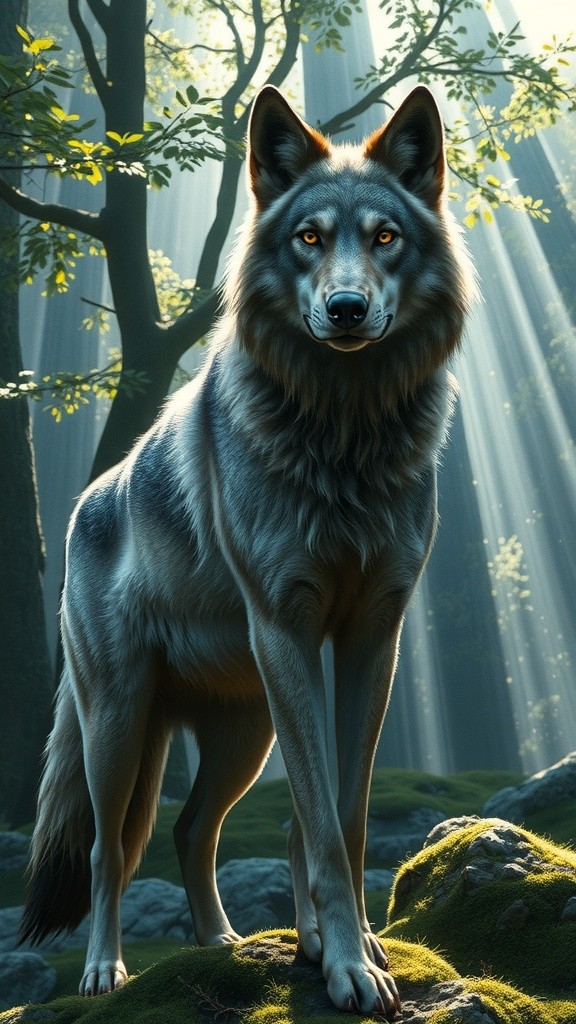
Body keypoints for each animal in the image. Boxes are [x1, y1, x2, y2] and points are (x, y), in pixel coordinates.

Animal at [20, 85, 473, 1019]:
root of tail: (85, 503)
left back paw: (224, 944)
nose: (346, 310)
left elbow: (339, 818)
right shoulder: (287, 629)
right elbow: (322, 831)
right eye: (309, 238)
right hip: (120, 725)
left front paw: (342, 946)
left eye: (385, 237)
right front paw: (349, 967)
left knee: (192, 828)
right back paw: (104, 971)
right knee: (110, 851)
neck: (345, 431)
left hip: (245, 730)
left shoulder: (370, 639)